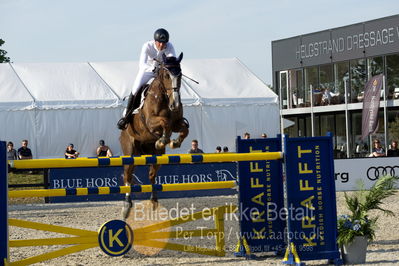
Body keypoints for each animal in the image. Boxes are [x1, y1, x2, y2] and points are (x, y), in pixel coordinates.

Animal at [119, 52, 190, 218]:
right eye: (166, 75)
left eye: (180, 74)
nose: (175, 104)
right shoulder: (151, 122)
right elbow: (164, 122)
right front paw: (164, 139)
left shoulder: (177, 123)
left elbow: (184, 129)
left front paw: (174, 142)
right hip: (129, 152)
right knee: (128, 176)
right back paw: (127, 206)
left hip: (156, 156)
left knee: (151, 174)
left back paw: (154, 201)